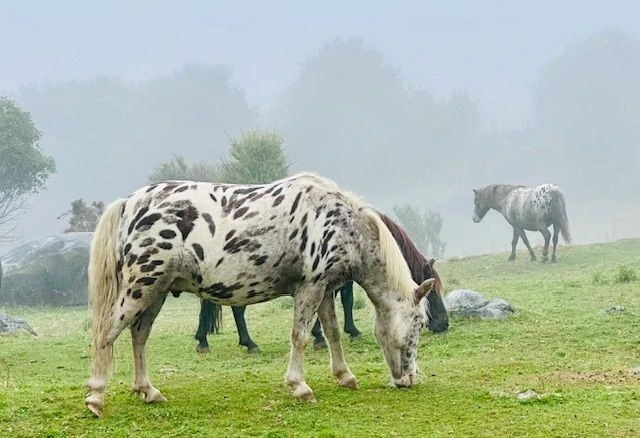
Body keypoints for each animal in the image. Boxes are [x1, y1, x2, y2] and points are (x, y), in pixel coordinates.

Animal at [194, 211, 449, 353]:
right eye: (431, 293)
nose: (444, 324)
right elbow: (345, 301)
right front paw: (336, 334)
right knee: (237, 310)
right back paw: (247, 344)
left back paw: (205, 340)